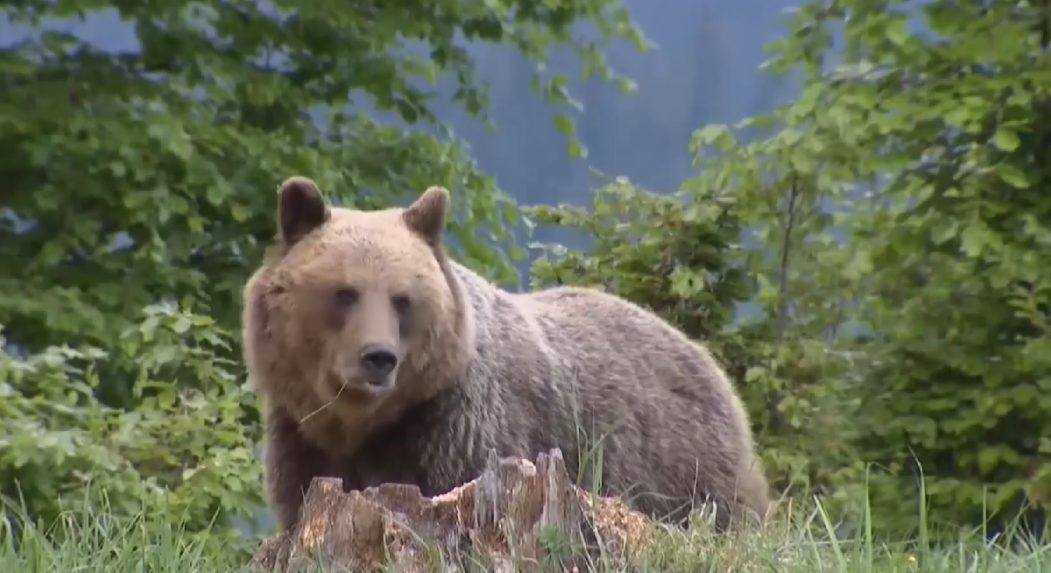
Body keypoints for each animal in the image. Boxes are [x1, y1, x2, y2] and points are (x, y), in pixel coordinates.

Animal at [241, 176, 769, 529]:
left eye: (402, 298)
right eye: (345, 292)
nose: (378, 357)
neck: (362, 425)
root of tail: (704, 357)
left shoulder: (460, 434)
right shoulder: (303, 439)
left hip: (683, 467)